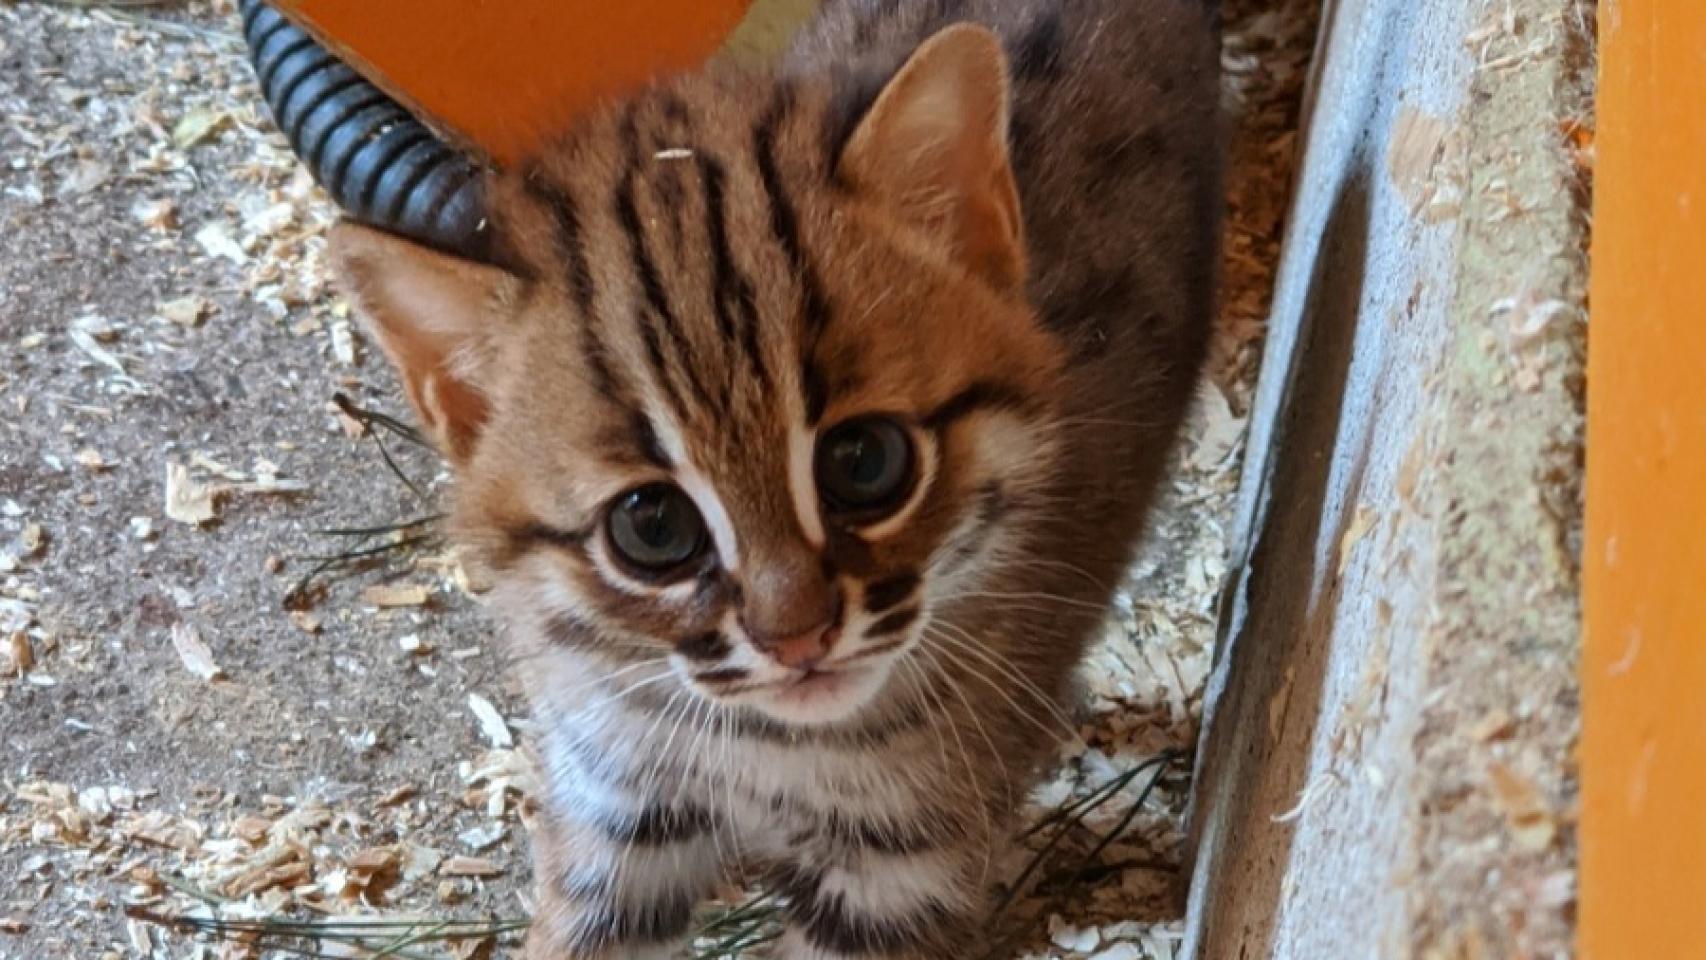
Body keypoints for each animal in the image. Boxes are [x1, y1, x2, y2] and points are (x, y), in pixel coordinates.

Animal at [325, 0, 1221, 954]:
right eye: (652, 526)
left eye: (864, 461)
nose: (798, 641)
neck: (769, 747)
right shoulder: (615, 806)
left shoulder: (902, 875)